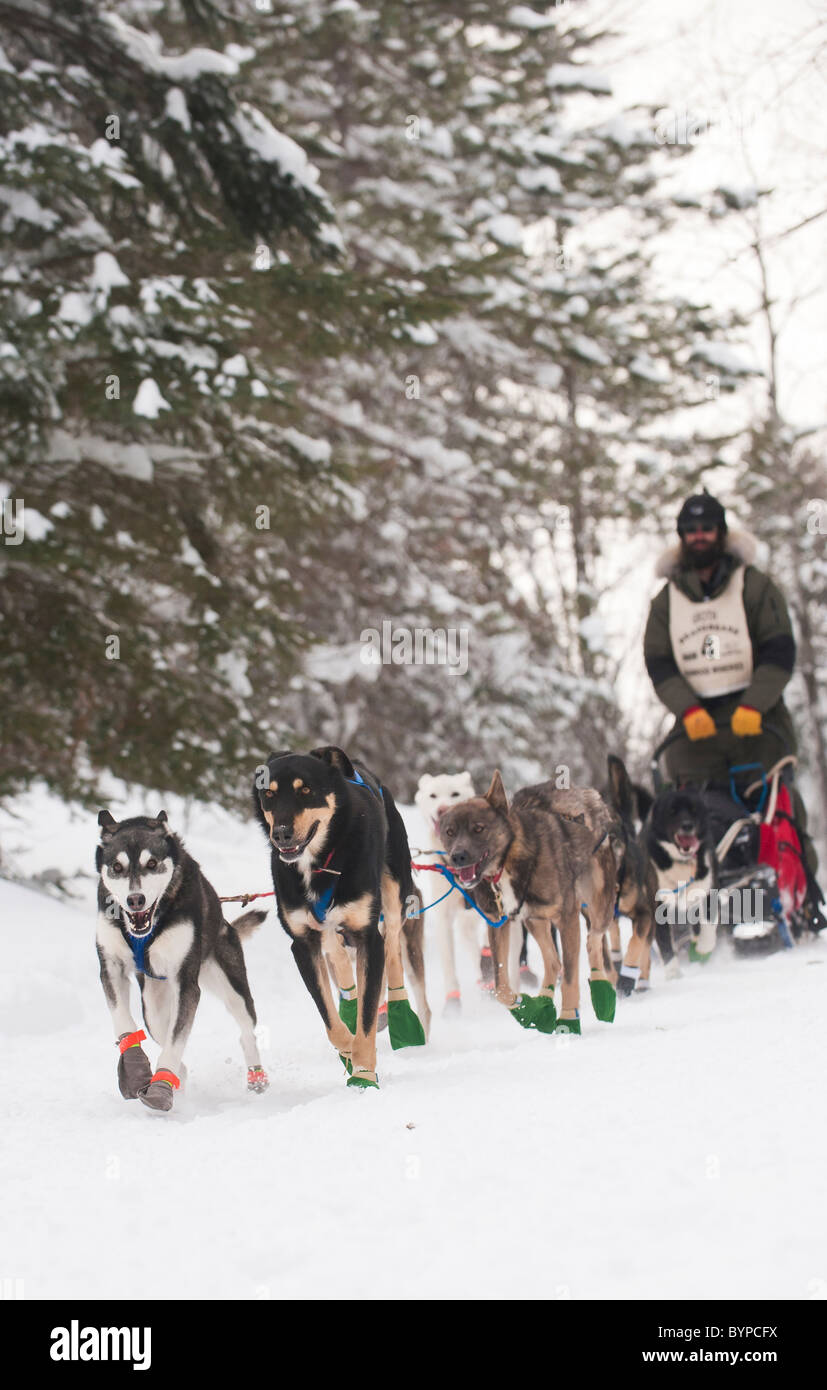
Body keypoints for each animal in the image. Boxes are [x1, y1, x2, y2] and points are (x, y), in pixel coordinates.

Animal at [96, 811, 268, 1112]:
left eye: (152, 863)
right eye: (117, 867)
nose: (135, 899)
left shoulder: (186, 983)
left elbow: (176, 1043)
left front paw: (161, 1087)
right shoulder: (111, 967)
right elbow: (123, 1021)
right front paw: (136, 1071)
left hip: (231, 988)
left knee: (246, 1031)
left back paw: (255, 1078)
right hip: (153, 1007)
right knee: (166, 1037)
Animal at [254, 745, 433, 1089]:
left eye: (306, 790)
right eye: (269, 794)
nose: (280, 834)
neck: (321, 864)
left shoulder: (367, 937)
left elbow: (367, 1017)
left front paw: (363, 1074)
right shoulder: (303, 943)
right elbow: (330, 1020)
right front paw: (349, 1050)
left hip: (393, 895)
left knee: (392, 950)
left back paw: (401, 1015)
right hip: (328, 930)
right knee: (337, 956)